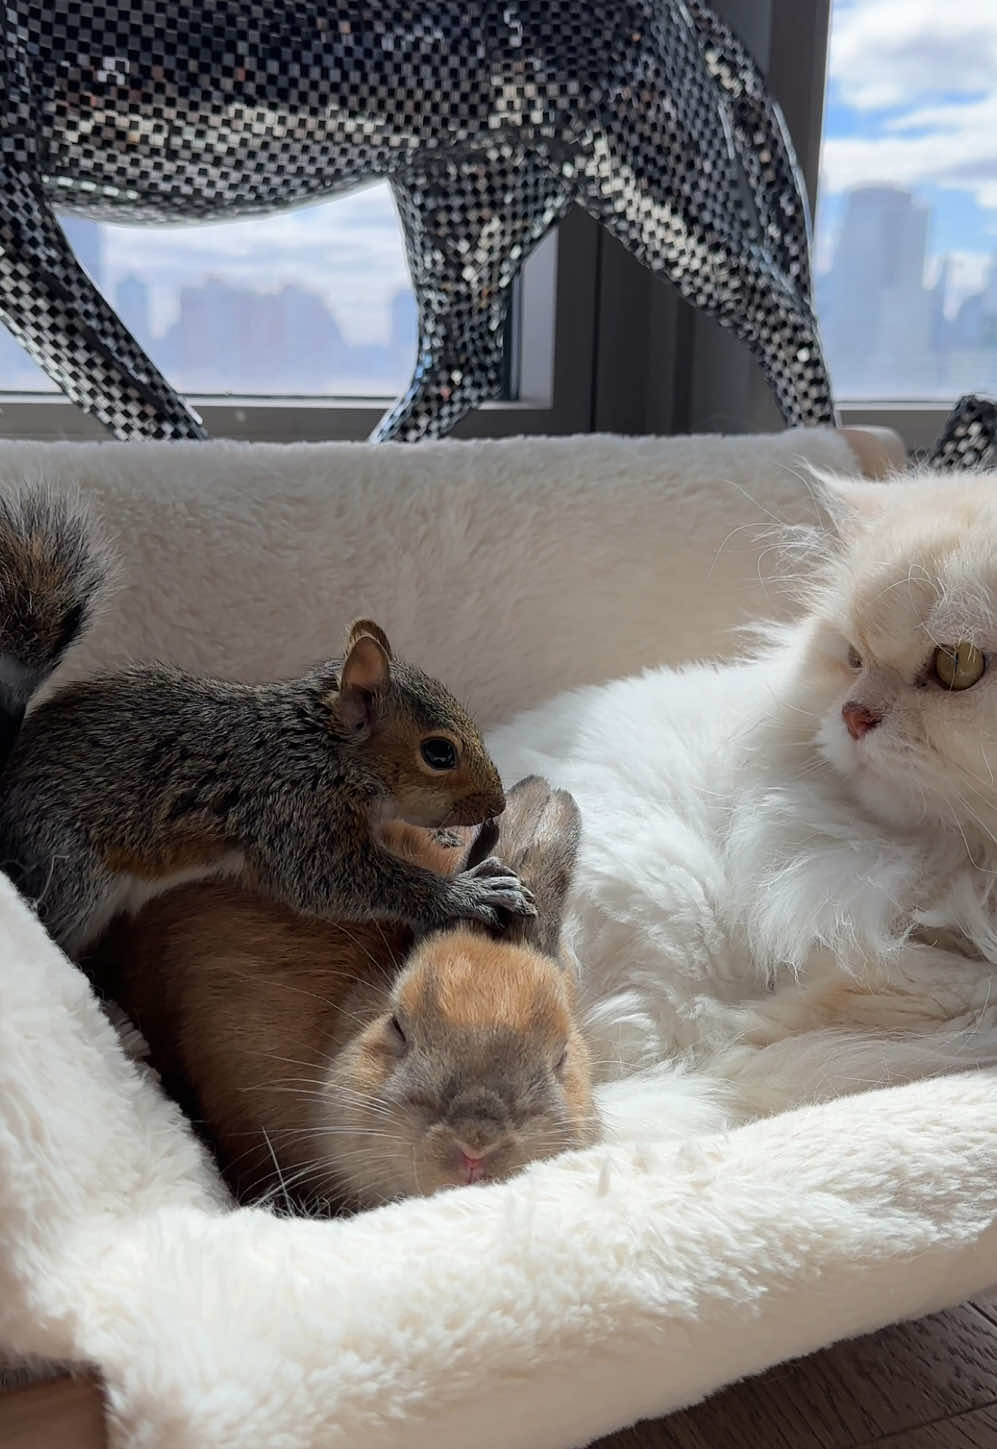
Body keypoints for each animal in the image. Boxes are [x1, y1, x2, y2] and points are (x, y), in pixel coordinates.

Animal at [0, 485, 534, 956]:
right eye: (438, 752)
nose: (497, 803)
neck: (324, 750)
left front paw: (445, 837)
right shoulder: (293, 812)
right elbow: (332, 879)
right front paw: (467, 891)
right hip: (69, 869)